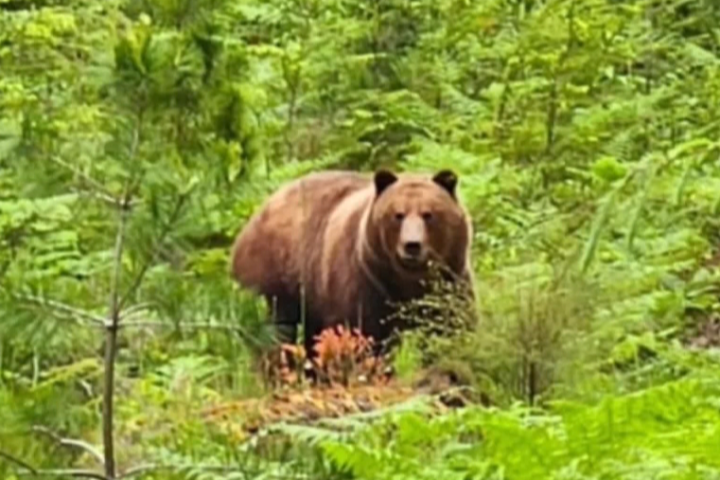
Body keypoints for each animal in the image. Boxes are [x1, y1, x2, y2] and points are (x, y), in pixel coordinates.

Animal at [230, 168, 475, 360]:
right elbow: (362, 334)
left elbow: (453, 328)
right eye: (398, 214)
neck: (407, 285)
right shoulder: (364, 284)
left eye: (428, 214)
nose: (412, 245)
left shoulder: (451, 283)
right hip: (273, 278)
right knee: (274, 332)